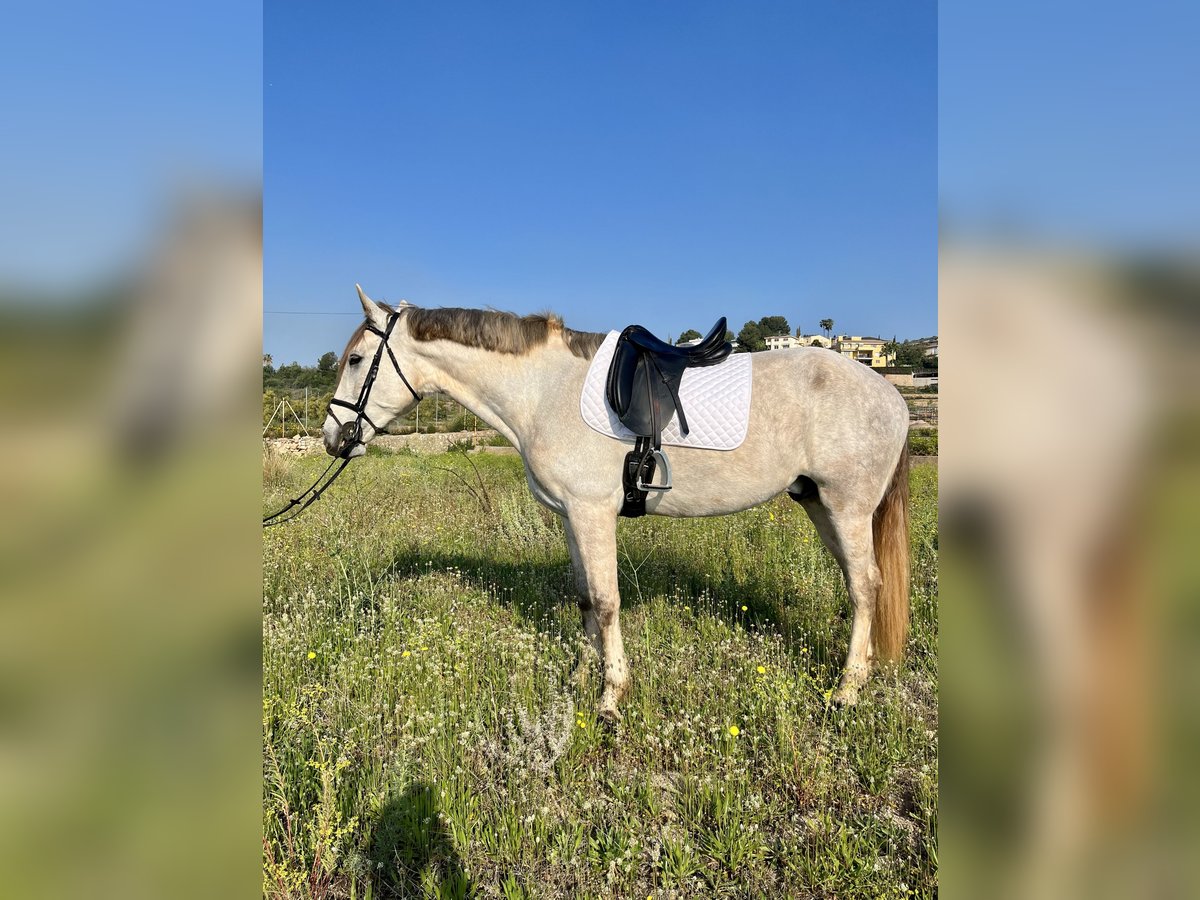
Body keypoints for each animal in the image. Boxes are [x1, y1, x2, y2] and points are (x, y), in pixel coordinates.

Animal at [322, 285, 911, 723]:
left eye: (356, 360)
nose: (333, 437)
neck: (543, 391)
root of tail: (892, 395)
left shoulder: (592, 513)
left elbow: (606, 602)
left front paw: (611, 697)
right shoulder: (570, 517)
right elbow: (584, 597)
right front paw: (581, 675)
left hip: (847, 508)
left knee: (866, 586)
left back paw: (847, 690)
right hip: (820, 505)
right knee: (861, 585)